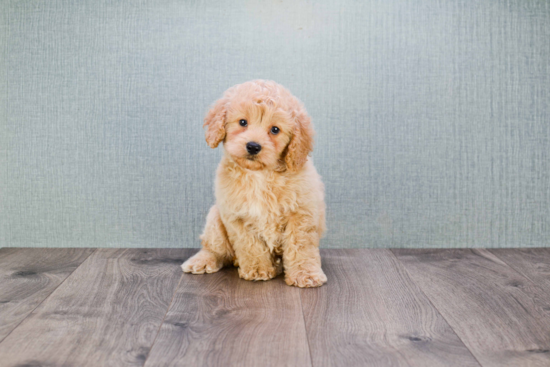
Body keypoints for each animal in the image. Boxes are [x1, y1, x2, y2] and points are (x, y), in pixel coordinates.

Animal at [181, 80, 328, 288]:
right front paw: (258, 269)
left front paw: (305, 274)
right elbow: (250, 245)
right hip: (215, 217)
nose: (253, 146)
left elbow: (300, 247)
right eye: (243, 122)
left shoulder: (301, 214)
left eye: (275, 129)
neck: (260, 175)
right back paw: (202, 260)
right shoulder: (237, 216)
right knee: (215, 249)